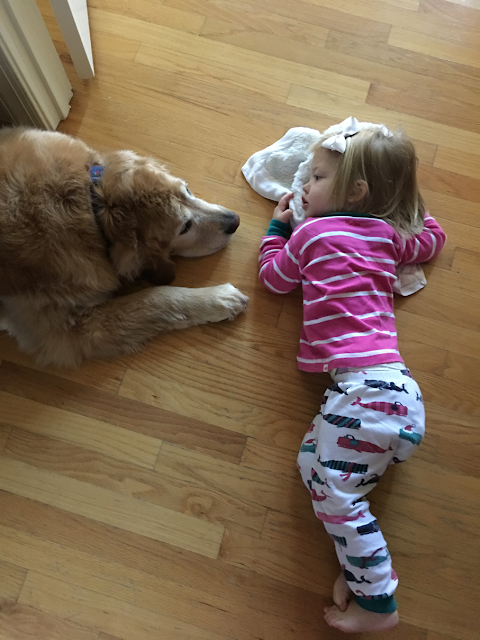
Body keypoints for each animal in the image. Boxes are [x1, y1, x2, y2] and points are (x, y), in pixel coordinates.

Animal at [0, 127, 248, 367]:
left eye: (187, 189)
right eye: (185, 226)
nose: (235, 221)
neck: (94, 208)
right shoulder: (70, 333)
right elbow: (157, 296)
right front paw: (218, 298)